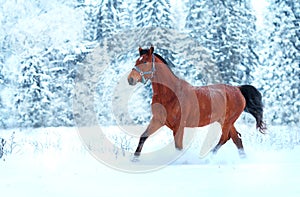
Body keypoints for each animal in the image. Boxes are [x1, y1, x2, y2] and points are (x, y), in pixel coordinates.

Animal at [127, 45, 266, 158]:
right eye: (136, 61)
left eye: (145, 62)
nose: (130, 79)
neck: (170, 94)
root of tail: (238, 89)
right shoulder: (158, 120)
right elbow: (143, 137)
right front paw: (135, 159)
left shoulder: (179, 127)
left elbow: (178, 147)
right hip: (225, 121)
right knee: (237, 139)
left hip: (227, 121)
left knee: (225, 138)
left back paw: (208, 158)